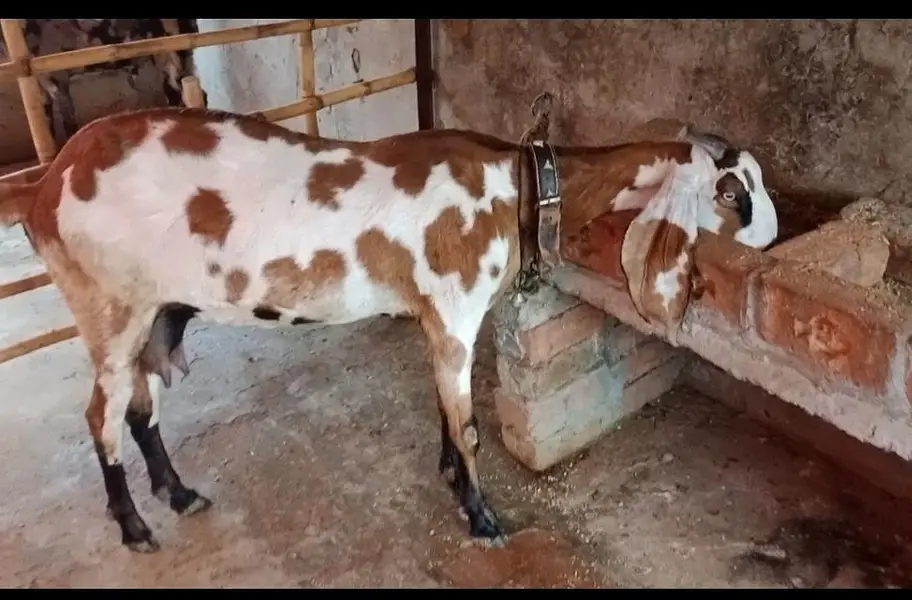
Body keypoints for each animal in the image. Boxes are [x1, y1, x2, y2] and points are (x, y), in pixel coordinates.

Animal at [0, 107, 777, 552]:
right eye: (733, 191)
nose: (771, 240)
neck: (520, 187)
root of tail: (47, 182)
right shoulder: (457, 311)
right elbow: (468, 423)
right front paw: (482, 518)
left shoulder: (439, 318)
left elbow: (445, 409)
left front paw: (449, 478)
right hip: (108, 308)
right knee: (101, 417)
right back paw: (134, 528)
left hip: (154, 313)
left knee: (140, 409)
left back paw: (179, 494)